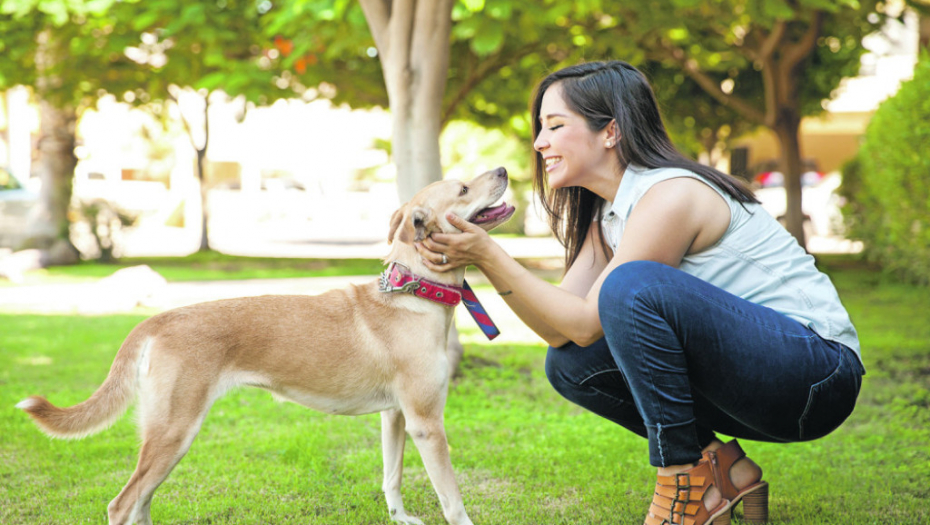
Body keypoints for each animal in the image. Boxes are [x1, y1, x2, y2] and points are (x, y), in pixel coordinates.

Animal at [14, 169, 516, 524]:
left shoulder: (396, 417)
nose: (505, 168)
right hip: (174, 432)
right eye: (464, 187)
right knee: (122, 505)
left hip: (168, 438)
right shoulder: (427, 424)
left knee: (140, 504)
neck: (413, 292)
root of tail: (158, 318)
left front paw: (401, 518)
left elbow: (391, 479)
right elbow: (452, 500)